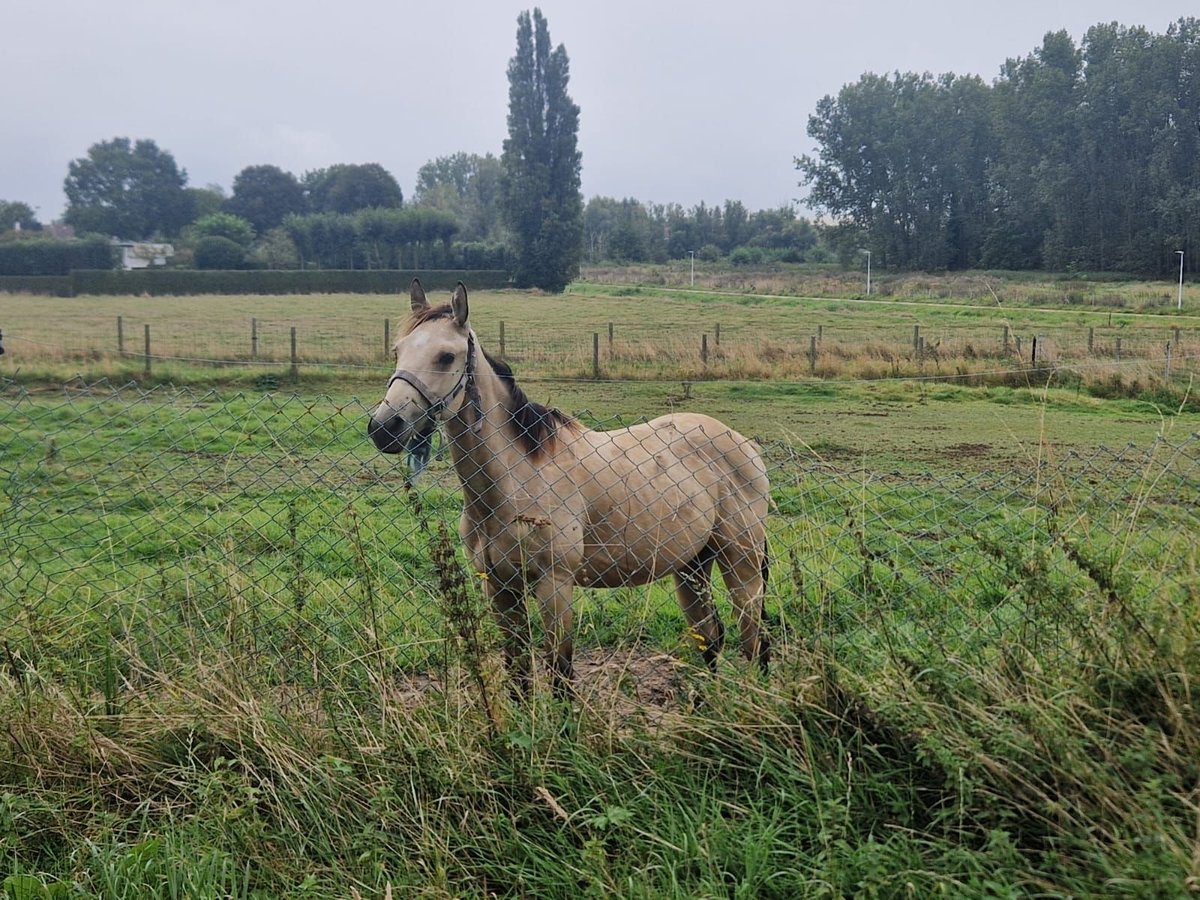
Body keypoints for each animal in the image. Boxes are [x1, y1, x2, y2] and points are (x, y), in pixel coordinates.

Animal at [369, 280, 772, 696]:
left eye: (446, 356)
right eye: (398, 350)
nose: (384, 427)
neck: (515, 480)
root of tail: (745, 445)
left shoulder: (555, 586)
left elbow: (560, 673)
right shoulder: (500, 589)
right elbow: (518, 674)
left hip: (741, 564)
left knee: (754, 640)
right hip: (692, 565)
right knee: (710, 638)